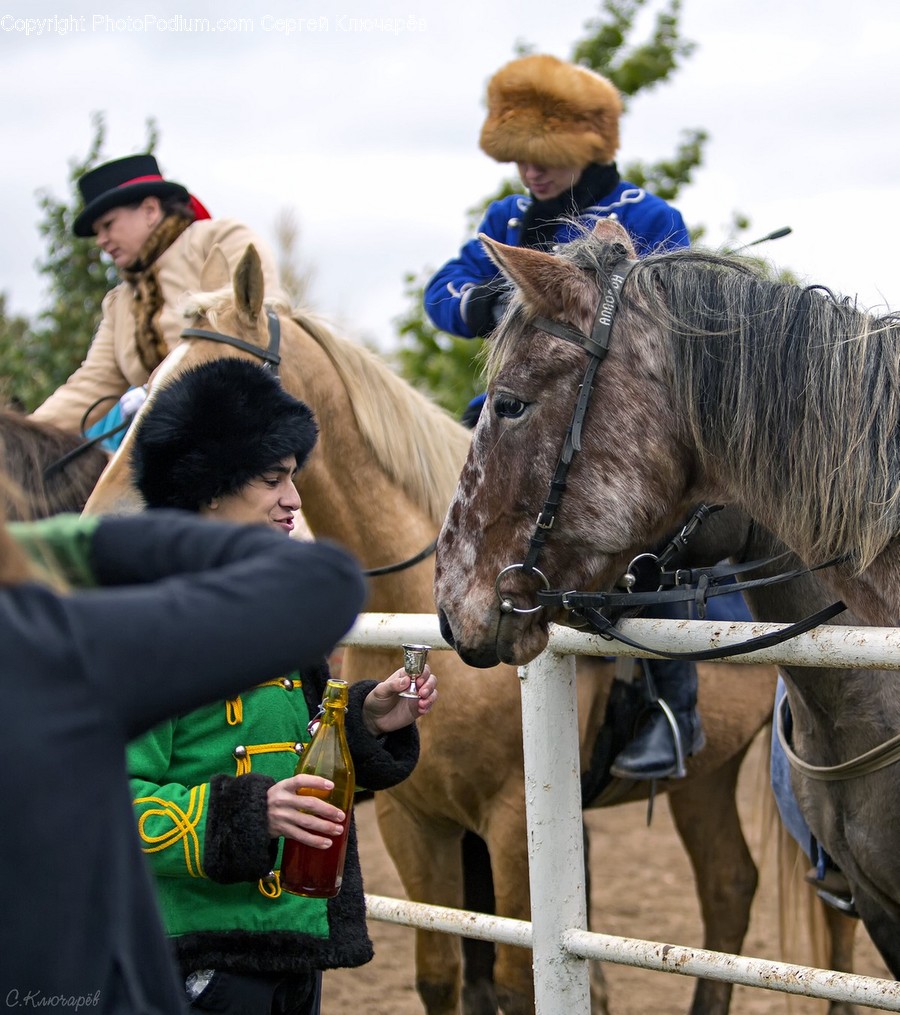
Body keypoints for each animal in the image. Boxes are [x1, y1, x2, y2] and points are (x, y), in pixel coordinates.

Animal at [84, 243, 779, 1015]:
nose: (104, 523)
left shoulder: (510, 825)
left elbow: (513, 980)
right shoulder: (416, 822)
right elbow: (445, 972)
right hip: (707, 780)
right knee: (730, 884)